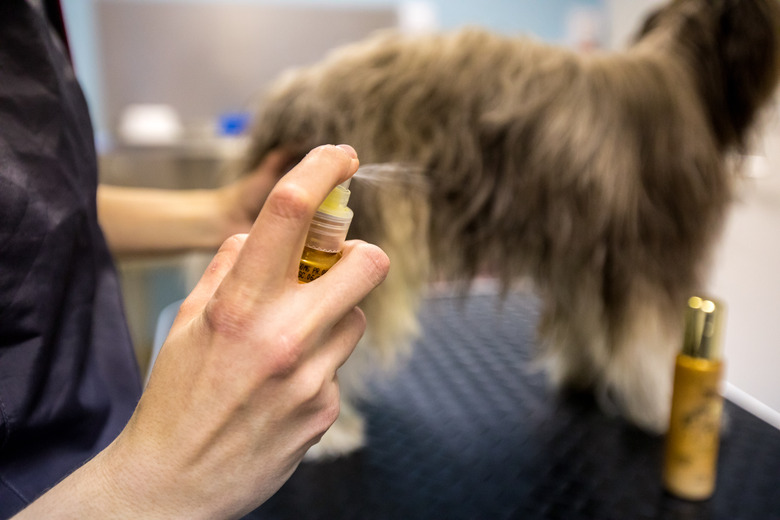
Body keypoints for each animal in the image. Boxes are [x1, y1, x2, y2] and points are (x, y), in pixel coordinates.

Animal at [238, 0, 780, 458]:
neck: (687, 66)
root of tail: (292, 94)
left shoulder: (584, 247)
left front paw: (584, 376)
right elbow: (655, 341)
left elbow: (587, 320)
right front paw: (669, 409)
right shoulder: (656, 246)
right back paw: (326, 436)